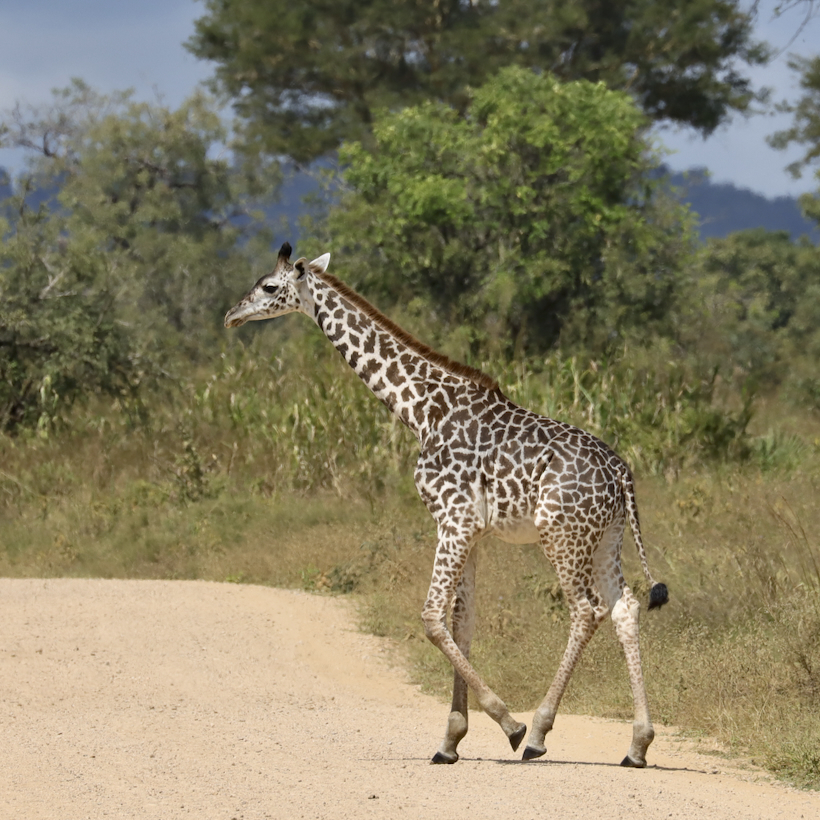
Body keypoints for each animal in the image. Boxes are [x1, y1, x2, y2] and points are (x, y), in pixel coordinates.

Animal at [224, 243, 668, 768]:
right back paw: (637, 744)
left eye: (269, 287)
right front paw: (451, 739)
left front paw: (507, 724)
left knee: (586, 610)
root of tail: (620, 472)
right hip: (607, 537)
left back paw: (538, 733)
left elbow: (433, 618)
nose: (231, 315)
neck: (421, 411)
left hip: (562, 533)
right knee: (625, 609)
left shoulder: (453, 519)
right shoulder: (472, 530)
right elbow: (462, 622)